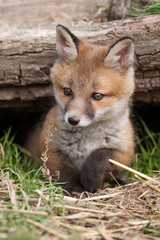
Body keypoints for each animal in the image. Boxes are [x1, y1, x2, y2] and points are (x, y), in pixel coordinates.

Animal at [25, 24, 135, 193]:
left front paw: (91, 181)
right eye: (67, 91)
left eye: (97, 96)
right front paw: (77, 190)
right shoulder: (51, 150)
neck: (87, 139)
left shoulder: (124, 153)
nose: (73, 120)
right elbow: (65, 173)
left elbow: (100, 155)